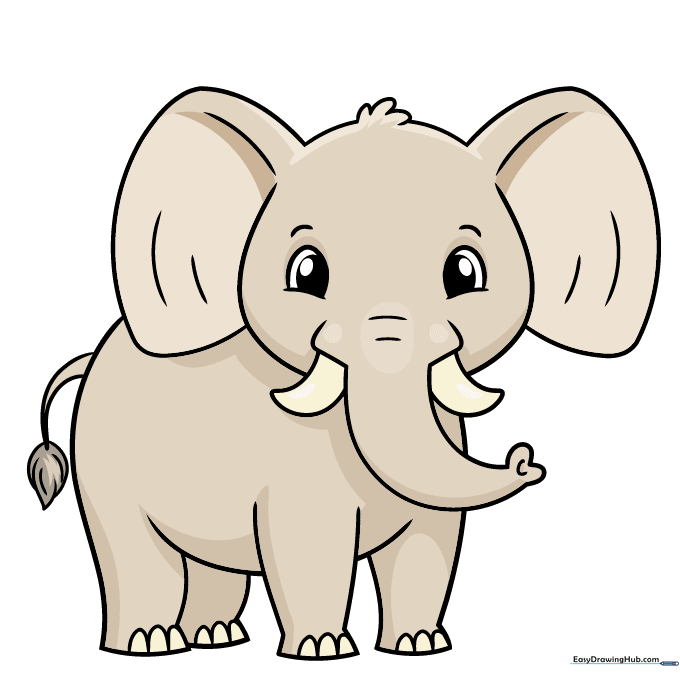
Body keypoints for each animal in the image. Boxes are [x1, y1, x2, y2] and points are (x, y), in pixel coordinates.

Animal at [27, 86, 659, 659]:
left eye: (465, 273)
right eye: (307, 273)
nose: (526, 459)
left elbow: (432, 540)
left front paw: (419, 646)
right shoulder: (296, 467)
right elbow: (310, 541)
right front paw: (322, 650)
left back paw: (215, 637)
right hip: (104, 461)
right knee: (134, 552)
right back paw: (148, 644)